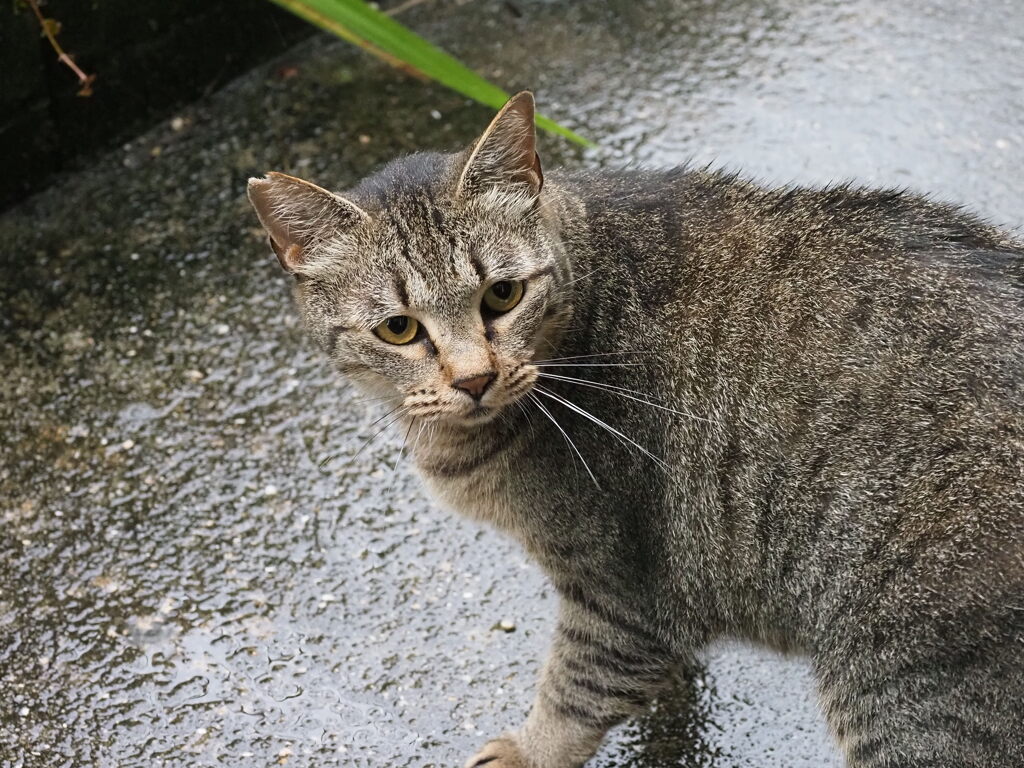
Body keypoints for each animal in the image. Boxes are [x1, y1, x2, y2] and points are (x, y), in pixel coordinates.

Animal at [247, 93, 1024, 765]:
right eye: (399, 329)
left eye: (503, 295)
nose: (473, 378)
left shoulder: (623, 593)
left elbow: (573, 693)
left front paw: (523, 751)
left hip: (907, 684)